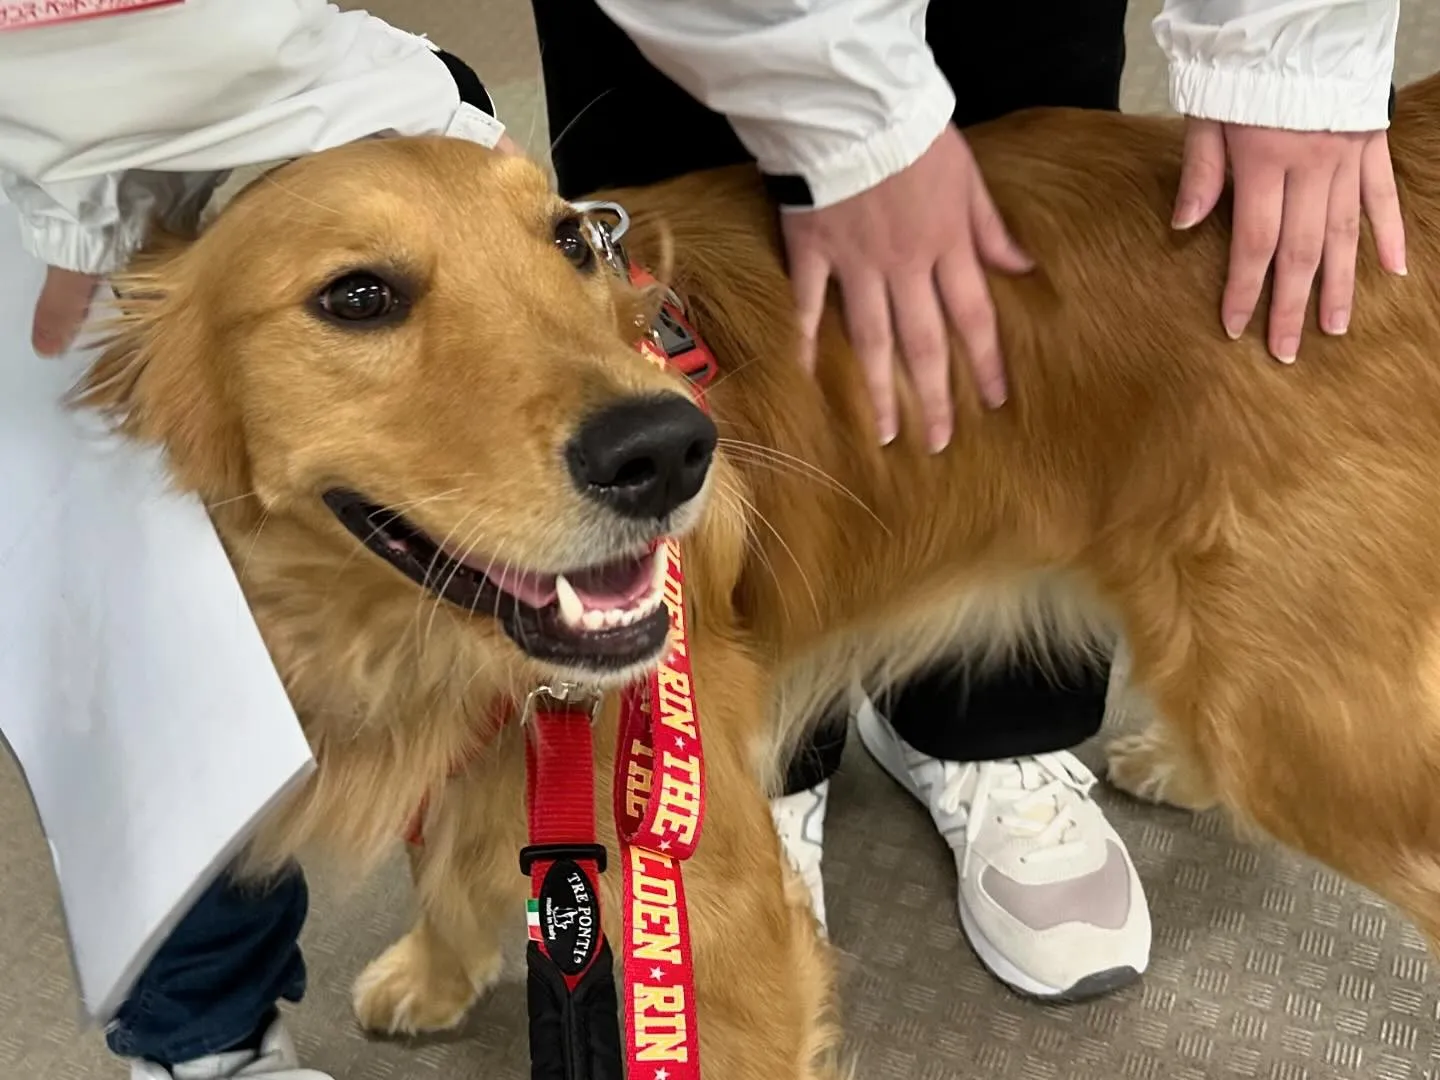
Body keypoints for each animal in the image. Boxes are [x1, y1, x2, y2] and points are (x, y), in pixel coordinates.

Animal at [73, 65, 1440, 1077]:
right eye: (356, 297)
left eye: (570, 242)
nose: (669, 448)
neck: (405, 640)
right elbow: (454, 863)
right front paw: (437, 968)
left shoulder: (716, 928)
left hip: (1312, 726)